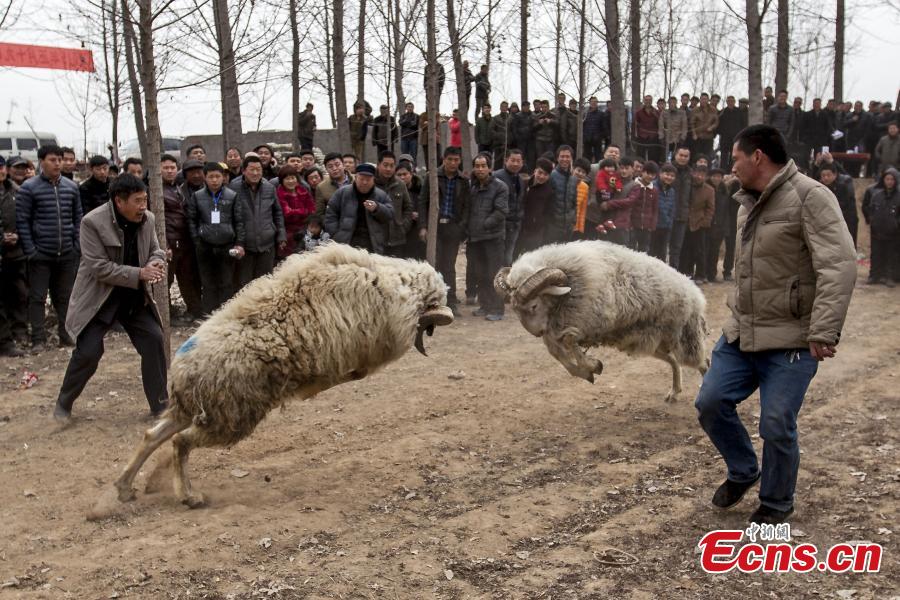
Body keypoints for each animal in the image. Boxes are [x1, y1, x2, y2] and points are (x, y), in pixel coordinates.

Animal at [109, 241, 454, 508]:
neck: (397, 284)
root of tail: (182, 371)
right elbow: (356, 371)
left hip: (202, 409)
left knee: (153, 436)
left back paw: (126, 487)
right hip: (231, 414)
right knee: (179, 441)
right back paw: (188, 496)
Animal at [492, 240, 712, 404]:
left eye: (534, 306)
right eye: (516, 310)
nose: (537, 332)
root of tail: (694, 290)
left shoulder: (588, 324)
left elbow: (570, 342)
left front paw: (593, 366)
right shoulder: (559, 329)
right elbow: (558, 354)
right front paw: (587, 372)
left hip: (685, 337)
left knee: (703, 362)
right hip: (652, 342)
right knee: (674, 361)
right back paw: (674, 392)